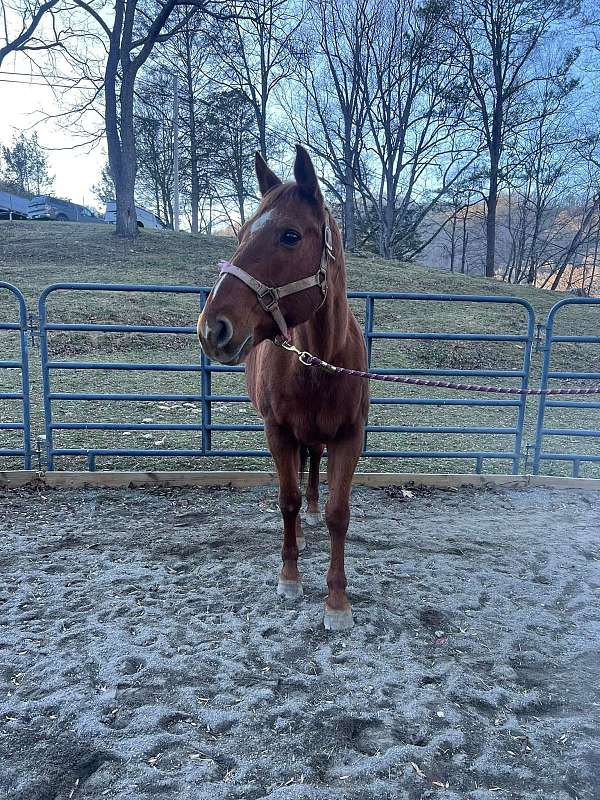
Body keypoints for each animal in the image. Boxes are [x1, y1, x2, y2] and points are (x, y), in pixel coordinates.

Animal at [198, 145, 366, 632]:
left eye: (290, 236)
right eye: (241, 233)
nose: (211, 328)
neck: (321, 360)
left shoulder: (349, 437)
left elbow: (338, 515)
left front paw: (337, 601)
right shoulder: (277, 433)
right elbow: (286, 501)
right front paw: (290, 577)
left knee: (314, 466)